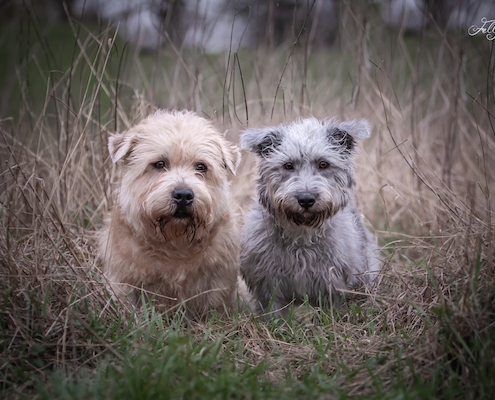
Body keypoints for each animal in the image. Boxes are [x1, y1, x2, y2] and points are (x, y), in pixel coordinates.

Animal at [96, 110, 240, 318]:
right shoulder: (123, 281)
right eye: (159, 164)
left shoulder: (219, 282)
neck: (175, 243)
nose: (183, 195)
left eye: (201, 167)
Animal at [240, 116, 384, 318]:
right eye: (288, 165)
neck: (302, 233)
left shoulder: (335, 286)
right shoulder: (268, 288)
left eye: (323, 164)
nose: (306, 199)